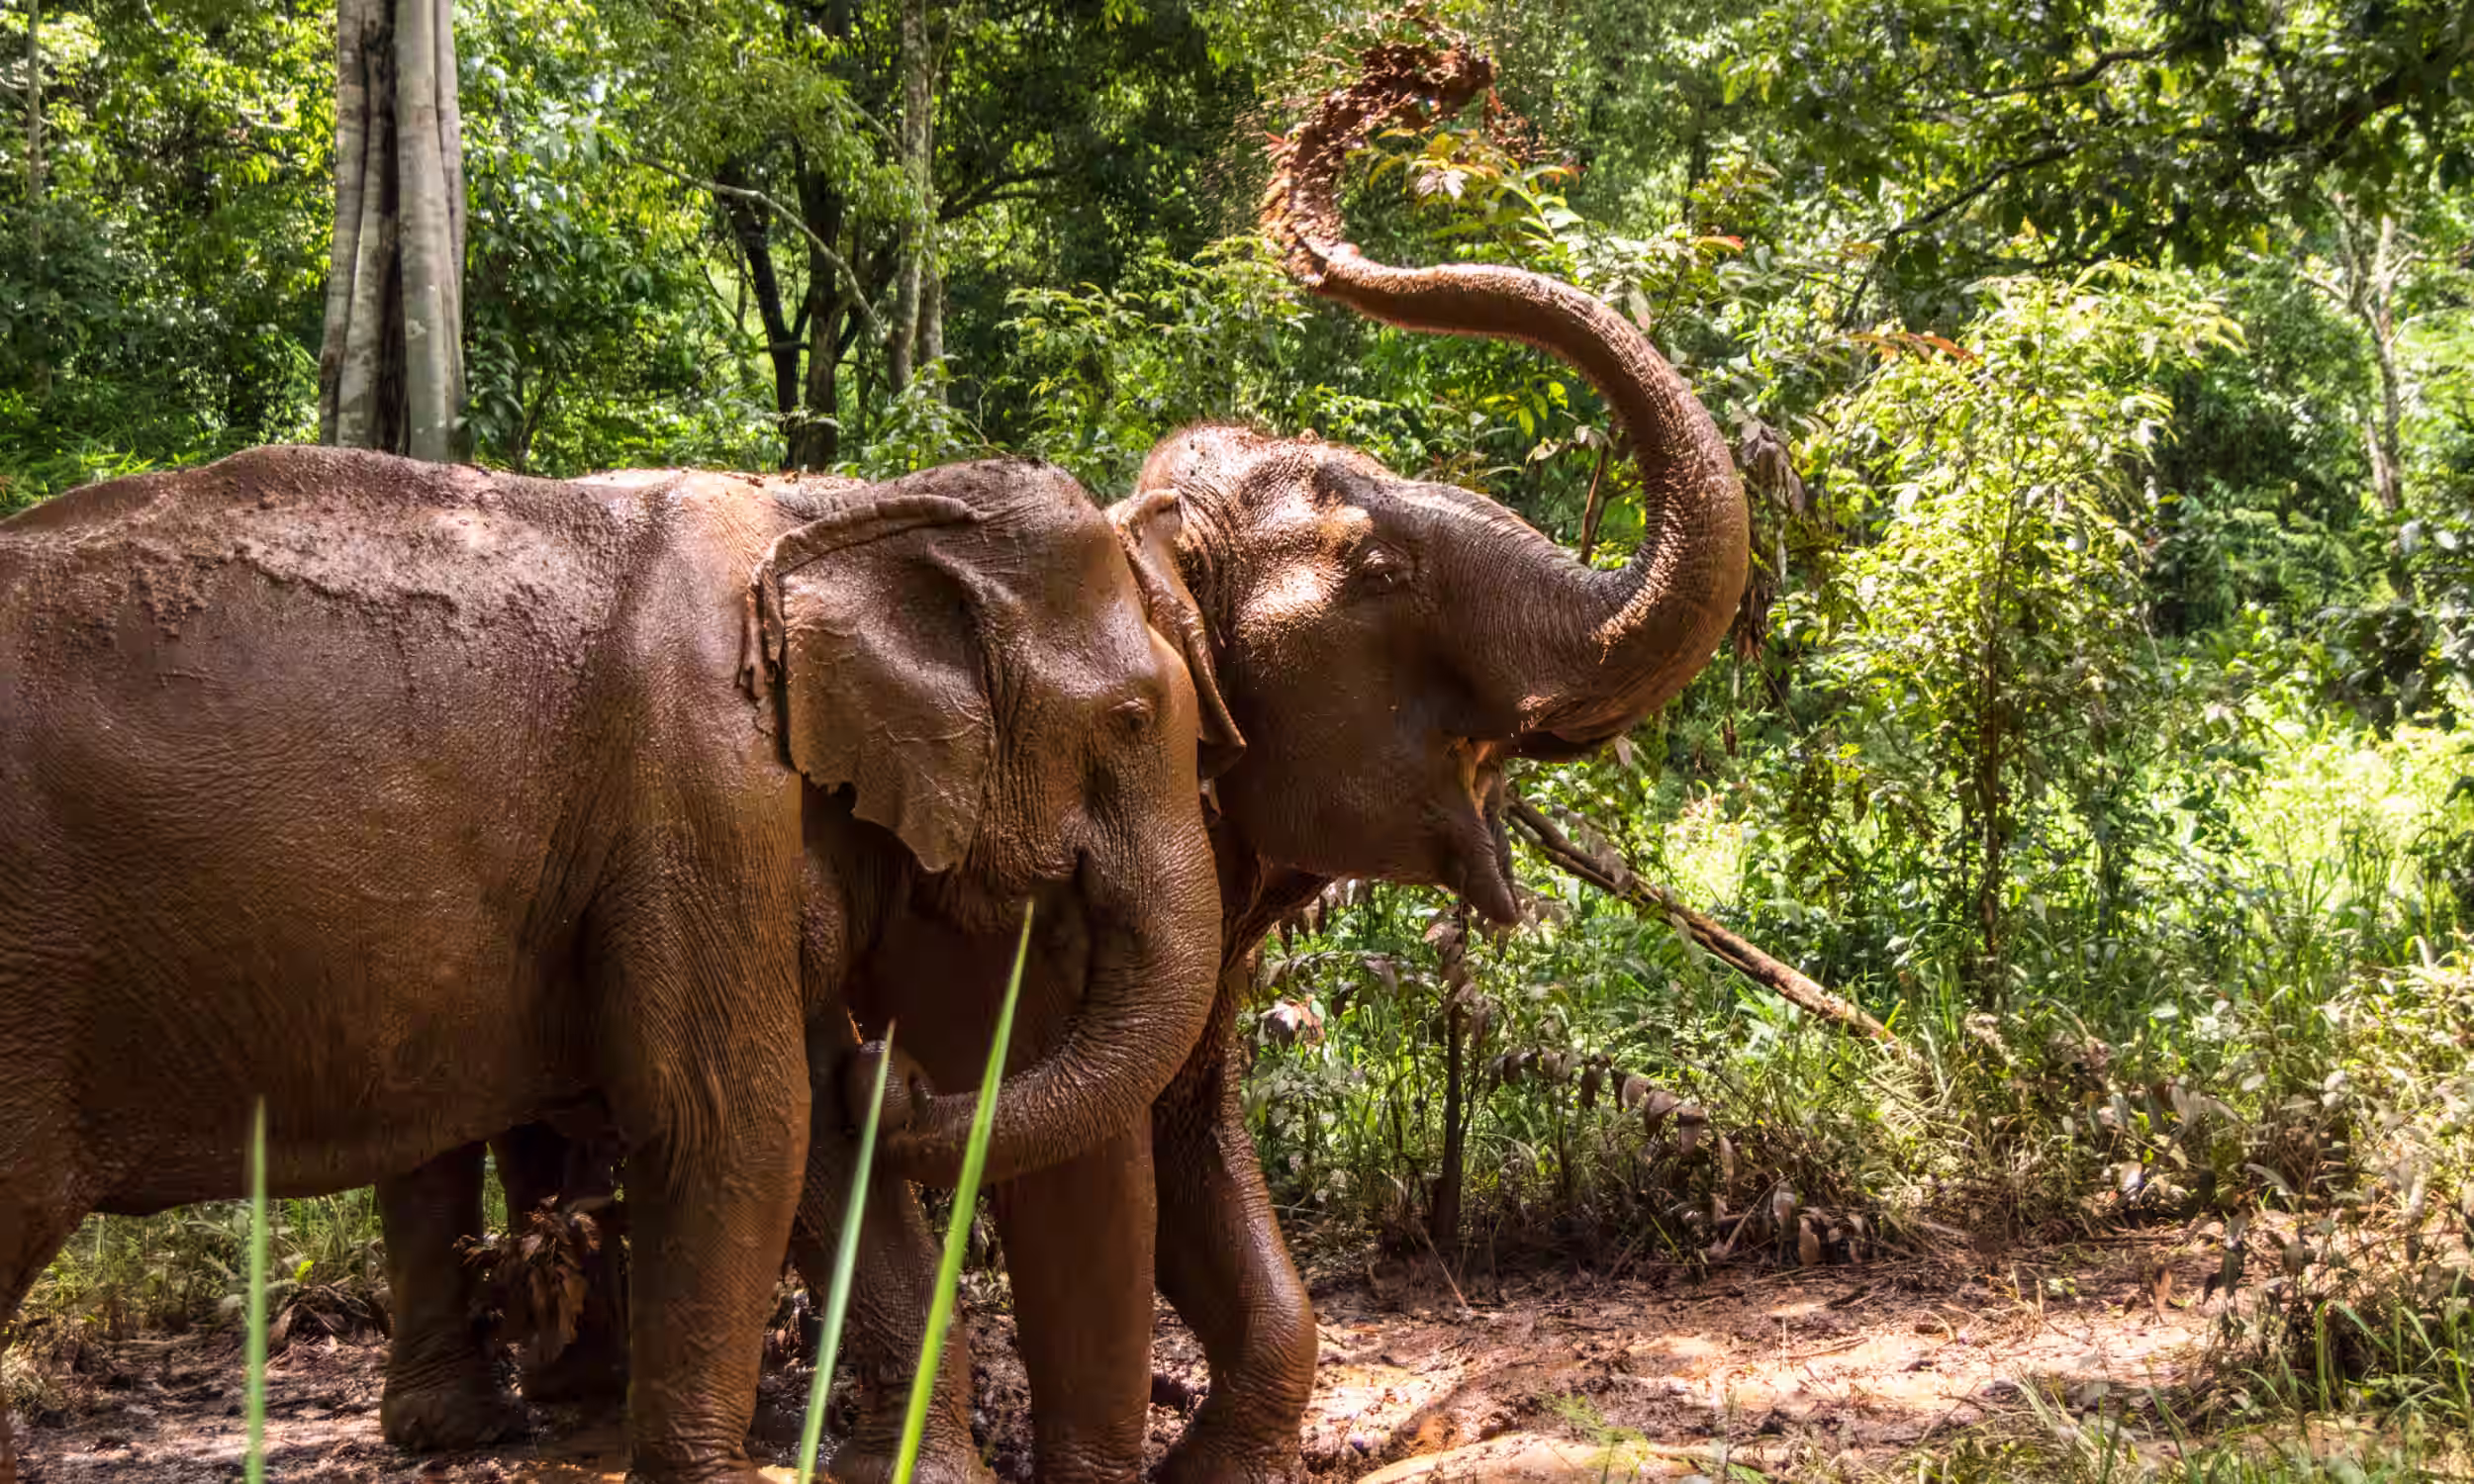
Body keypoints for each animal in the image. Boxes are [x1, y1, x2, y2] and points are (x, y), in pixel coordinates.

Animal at [0, 448, 1227, 1484]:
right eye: (1131, 716)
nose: (897, 1073)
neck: (836, 506)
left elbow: (821, 1145)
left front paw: (919, 1474)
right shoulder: (702, 788)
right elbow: (734, 1119)